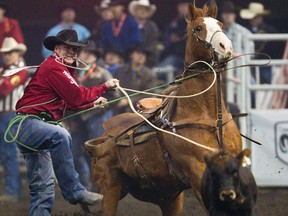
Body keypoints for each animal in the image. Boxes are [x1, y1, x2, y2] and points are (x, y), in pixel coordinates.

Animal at [85, 0, 241, 215]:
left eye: (221, 24)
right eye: (198, 28)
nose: (226, 47)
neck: (207, 115)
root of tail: (104, 136)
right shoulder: (198, 172)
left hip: (169, 198)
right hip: (110, 189)